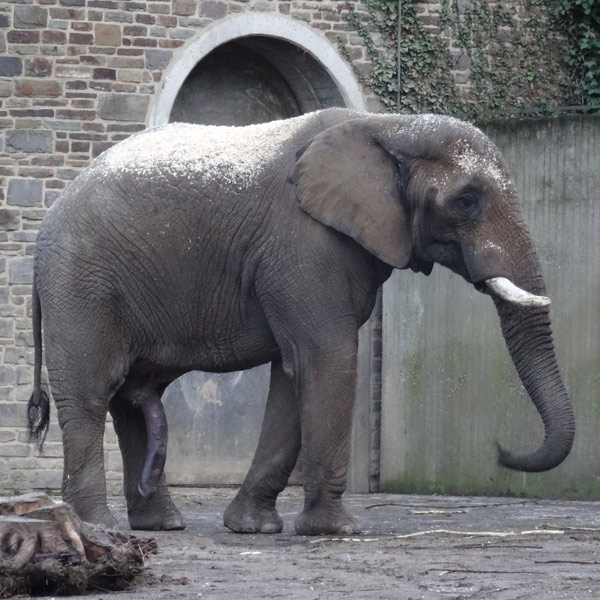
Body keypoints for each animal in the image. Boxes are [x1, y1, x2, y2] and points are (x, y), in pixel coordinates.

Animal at [28, 108, 576, 536]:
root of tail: (49, 218)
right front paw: (338, 531)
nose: (501, 452)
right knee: (92, 394)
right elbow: (328, 358)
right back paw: (99, 526)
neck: (390, 125)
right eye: (466, 200)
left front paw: (253, 528)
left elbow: (294, 372)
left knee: (133, 399)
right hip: (81, 284)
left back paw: (160, 524)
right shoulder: (304, 244)